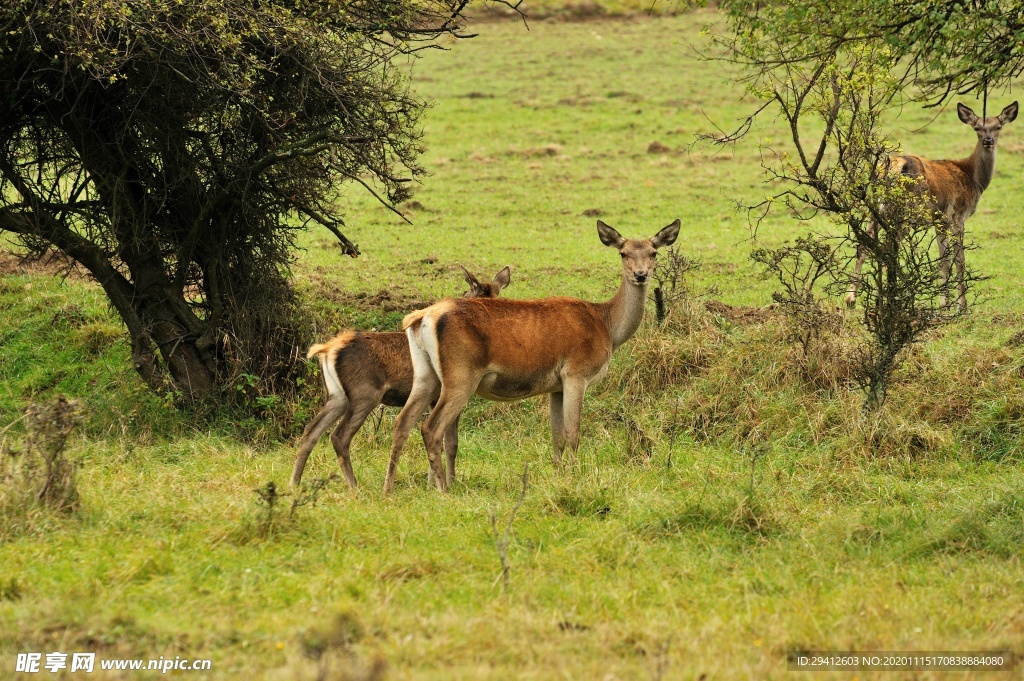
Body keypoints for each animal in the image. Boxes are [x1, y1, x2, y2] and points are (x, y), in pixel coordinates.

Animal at [290, 262, 509, 485]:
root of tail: (327, 350)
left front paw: (432, 483)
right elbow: (450, 443)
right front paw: (445, 482)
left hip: (337, 395)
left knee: (311, 431)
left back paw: (294, 483)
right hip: (365, 393)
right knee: (338, 436)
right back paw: (354, 486)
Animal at [385, 220, 679, 491]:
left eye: (653, 252)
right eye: (623, 253)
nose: (640, 274)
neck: (606, 326)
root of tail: (422, 317)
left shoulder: (556, 386)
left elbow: (557, 436)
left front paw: (559, 476)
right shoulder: (576, 373)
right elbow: (573, 433)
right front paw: (575, 478)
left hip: (426, 375)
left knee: (402, 423)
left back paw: (388, 489)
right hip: (460, 375)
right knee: (430, 428)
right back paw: (443, 490)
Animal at [847, 98, 1015, 311]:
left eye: (998, 127)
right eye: (977, 127)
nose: (988, 141)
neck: (974, 180)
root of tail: (893, 167)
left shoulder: (939, 221)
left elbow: (944, 260)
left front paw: (944, 303)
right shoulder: (957, 216)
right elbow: (959, 259)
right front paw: (961, 306)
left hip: (877, 206)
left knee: (865, 245)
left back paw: (851, 299)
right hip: (906, 210)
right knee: (886, 249)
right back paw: (889, 300)